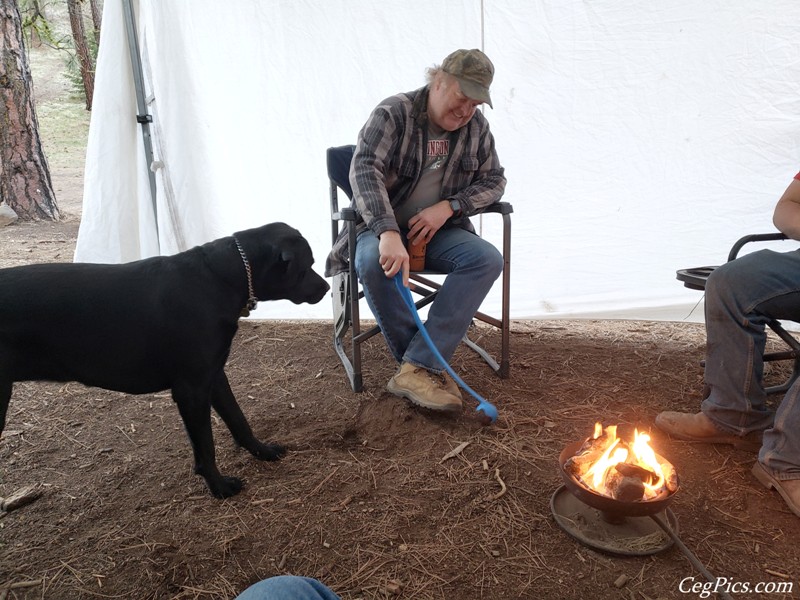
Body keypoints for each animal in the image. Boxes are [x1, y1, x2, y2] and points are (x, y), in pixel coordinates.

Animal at [0, 223, 328, 500]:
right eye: (307, 265)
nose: (326, 287)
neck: (218, 279)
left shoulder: (214, 376)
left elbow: (239, 420)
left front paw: (262, 451)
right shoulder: (191, 390)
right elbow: (205, 446)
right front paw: (219, 486)